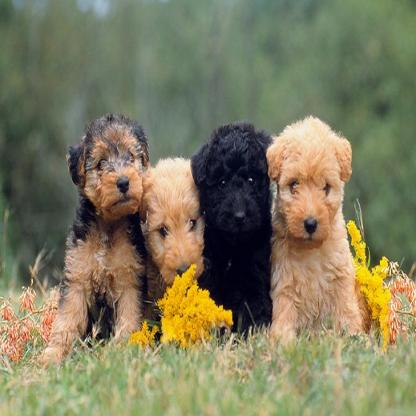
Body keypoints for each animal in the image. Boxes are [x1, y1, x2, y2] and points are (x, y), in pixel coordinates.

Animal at [41, 114, 150, 364]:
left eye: (131, 157)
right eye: (100, 163)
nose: (123, 182)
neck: (108, 226)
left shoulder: (130, 280)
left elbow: (129, 319)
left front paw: (121, 351)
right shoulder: (77, 278)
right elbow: (66, 320)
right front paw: (53, 354)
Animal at [191, 122, 272, 334]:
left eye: (251, 180)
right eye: (222, 183)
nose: (239, 216)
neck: (233, 246)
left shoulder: (255, 277)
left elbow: (255, 309)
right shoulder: (209, 274)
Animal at [268, 115, 362, 342]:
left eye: (326, 187)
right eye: (294, 184)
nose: (310, 224)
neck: (310, 251)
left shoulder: (341, 277)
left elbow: (346, 311)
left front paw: (355, 337)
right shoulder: (284, 282)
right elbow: (284, 316)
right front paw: (283, 342)